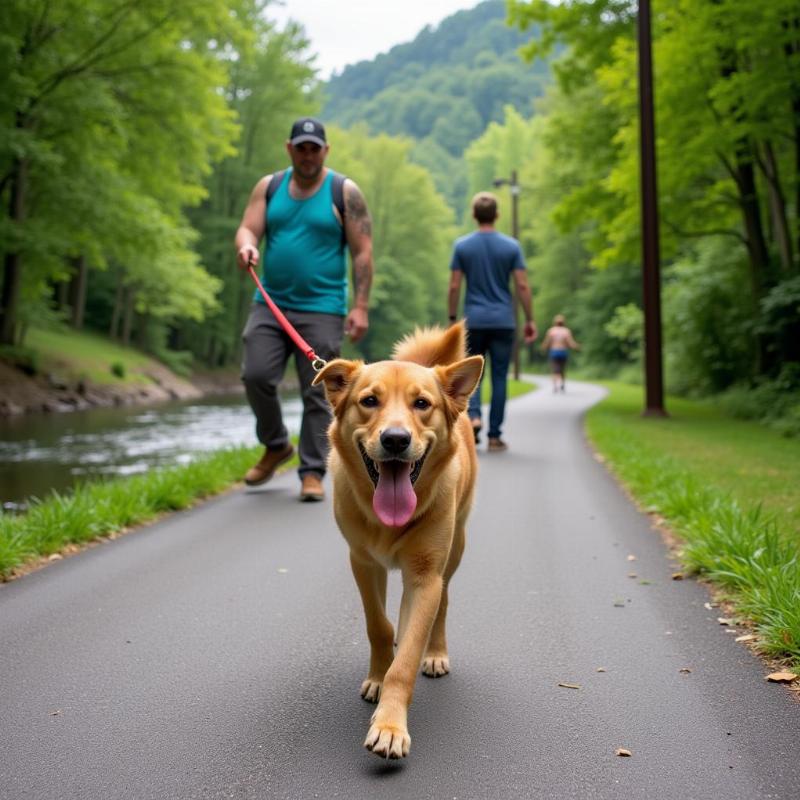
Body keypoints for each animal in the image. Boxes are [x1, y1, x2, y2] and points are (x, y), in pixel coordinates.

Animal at [314, 322, 484, 760]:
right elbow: (378, 626)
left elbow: (406, 657)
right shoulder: (362, 563)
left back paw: (436, 652)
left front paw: (390, 726)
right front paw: (378, 676)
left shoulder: (424, 577)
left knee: (443, 603)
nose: (395, 439)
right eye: (369, 401)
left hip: (455, 549)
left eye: (421, 404)